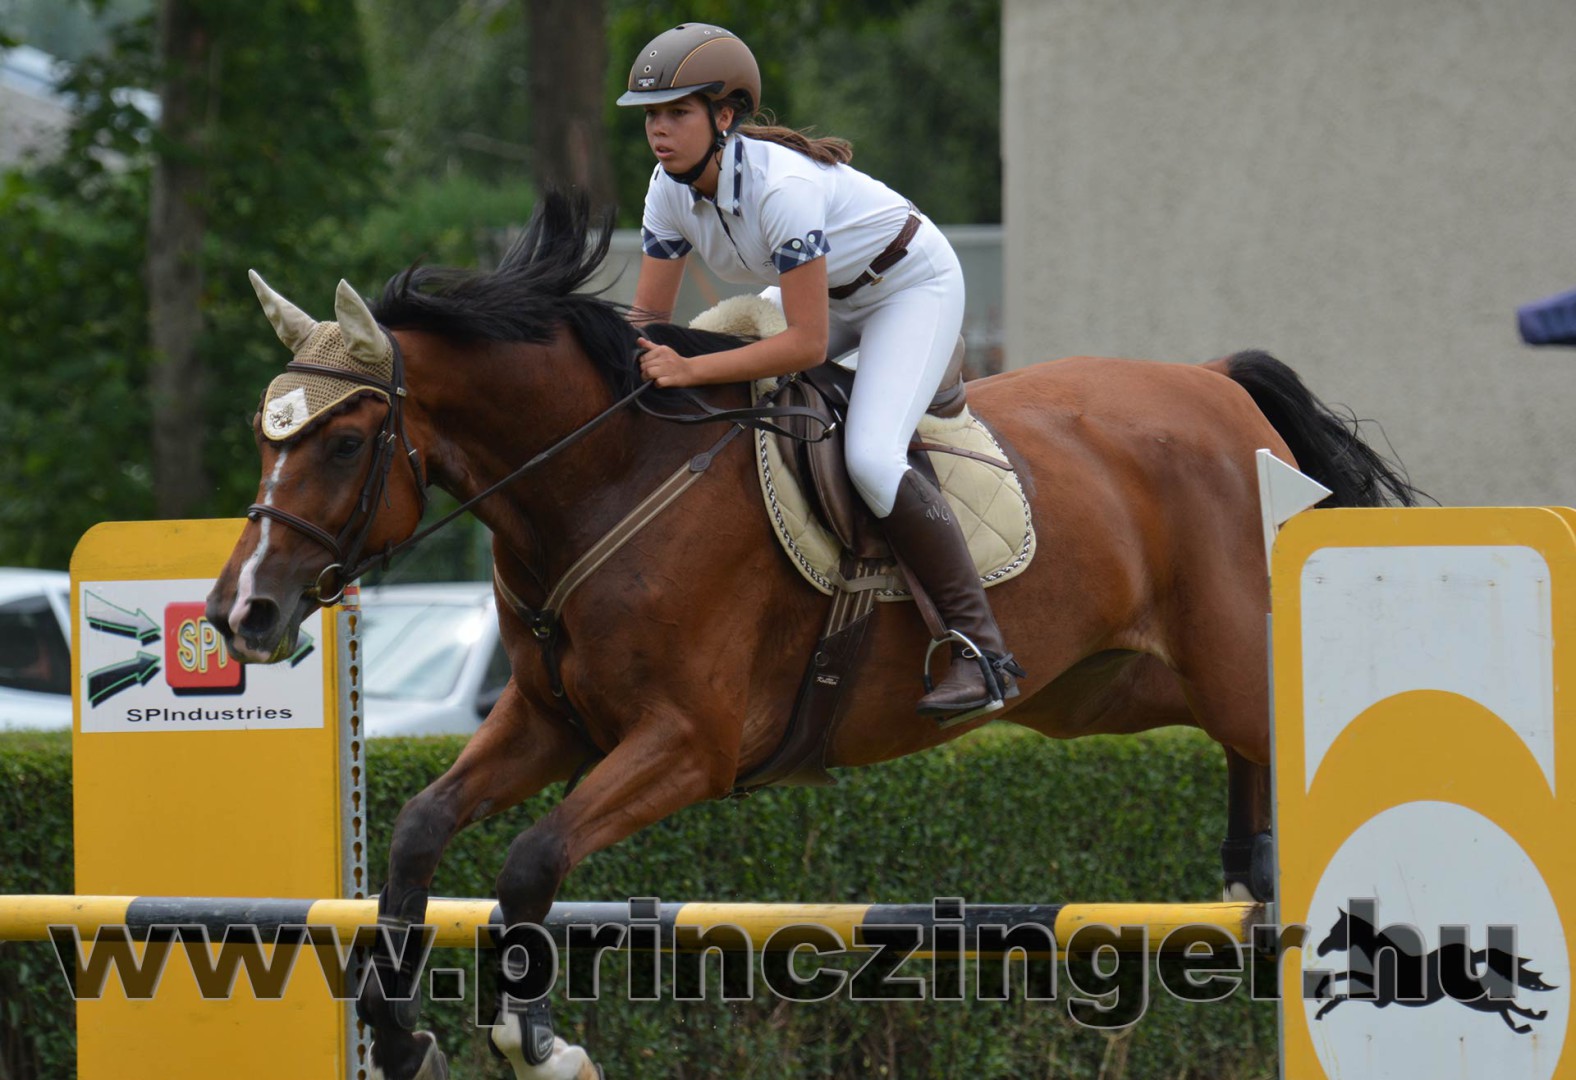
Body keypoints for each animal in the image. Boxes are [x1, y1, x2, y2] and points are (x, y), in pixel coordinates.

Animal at [205, 192, 1419, 1080]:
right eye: (267, 436)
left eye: (347, 440)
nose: (241, 614)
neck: (602, 480)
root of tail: (1218, 392)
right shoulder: (551, 722)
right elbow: (419, 832)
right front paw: (399, 1031)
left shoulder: (688, 744)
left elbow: (532, 860)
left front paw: (535, 1041)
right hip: (1116, 687)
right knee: (1245, 748)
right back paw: (1249, 877)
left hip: (1228, 659)